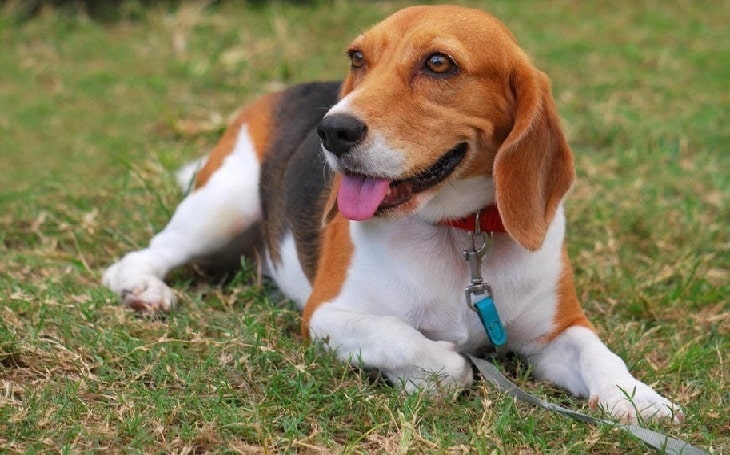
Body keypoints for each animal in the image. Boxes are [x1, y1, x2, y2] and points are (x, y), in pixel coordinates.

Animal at [104, 4, 684, 424]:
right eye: (358, 57)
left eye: (438, 63)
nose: (331, 130)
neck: (458, 236)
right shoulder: (327, 315)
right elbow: (419, 345)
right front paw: (428, 375)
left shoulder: (556, 332)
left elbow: (597, 353)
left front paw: (637, 398)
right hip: (223, 203)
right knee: (141, 256)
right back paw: (144, 290)